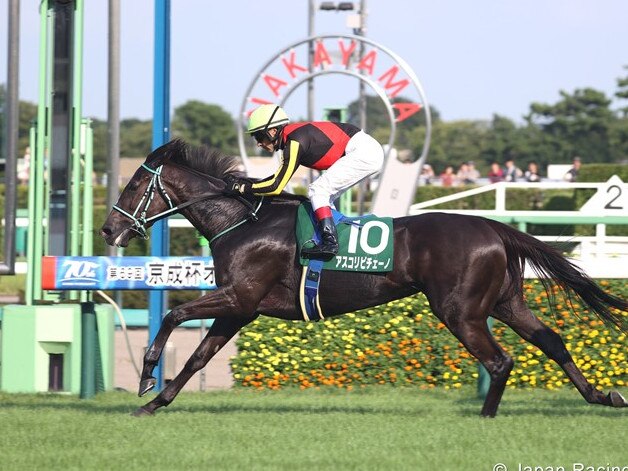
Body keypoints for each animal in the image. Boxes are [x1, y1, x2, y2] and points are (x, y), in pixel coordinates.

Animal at [100, 139, 624, 416]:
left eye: (134, 184)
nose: (108, 229)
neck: (243, 221)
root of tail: (493, 226)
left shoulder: (238, 297)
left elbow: (175, 315)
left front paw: (146, 378)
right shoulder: (241, 308)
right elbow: (198, 357)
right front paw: (154, 403)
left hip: (461, 310)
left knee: (500, 361)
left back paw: (486, 416)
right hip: (503, 302)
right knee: (551, 341)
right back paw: (603, 395)